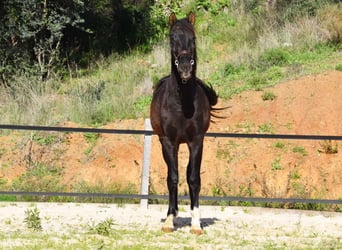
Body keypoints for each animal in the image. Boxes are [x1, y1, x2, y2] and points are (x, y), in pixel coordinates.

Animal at [150, 11, 219, 234]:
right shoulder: (169, 142)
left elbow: (193, 178)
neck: (182, 105)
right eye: (172, 38)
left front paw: (196, 224)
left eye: (193, 38)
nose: (186, 68)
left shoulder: (196, 141)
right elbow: (172, 178)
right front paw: (170, 220)